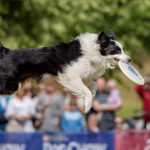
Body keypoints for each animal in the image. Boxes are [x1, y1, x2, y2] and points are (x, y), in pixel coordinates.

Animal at [0, 29, 131, 112]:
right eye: (117, 50)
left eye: (123, 49)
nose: (129, 59)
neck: (93, 52)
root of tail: (6, 52)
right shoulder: (69, 76)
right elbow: (86, 91)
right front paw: (87, 106)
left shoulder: (83, 76)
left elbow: (94, 85)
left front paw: (92, 97)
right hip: (11, 86)